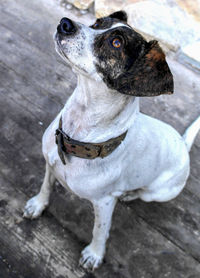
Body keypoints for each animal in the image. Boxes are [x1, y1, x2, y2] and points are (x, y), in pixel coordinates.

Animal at [23, 11, 200, 272]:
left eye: (116, 43)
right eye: (97, 23)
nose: (64, 23)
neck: (77, 132)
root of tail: (182, 144)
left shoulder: (104, 203)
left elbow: (100, 230)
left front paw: (95, 254)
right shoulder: (50, 164)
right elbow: (45, 186)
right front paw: (38, 205)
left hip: (158, 192)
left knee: (143, 194)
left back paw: (128, 194)